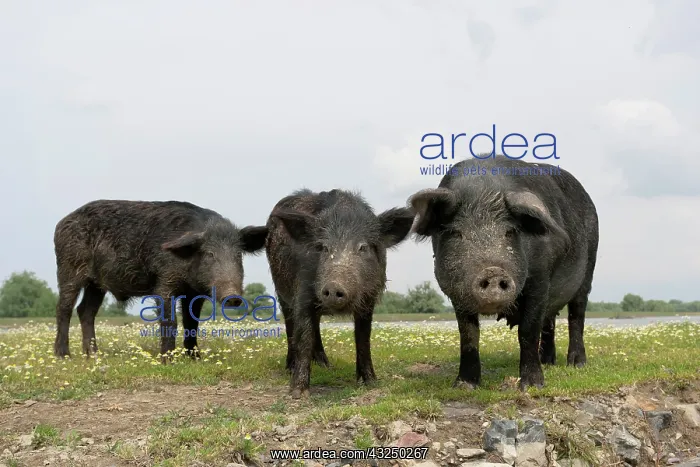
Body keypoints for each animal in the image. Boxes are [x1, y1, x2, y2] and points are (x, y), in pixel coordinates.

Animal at [53, 200, 268, 360]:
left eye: (238, 255)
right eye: (209, 254)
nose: (233, 297)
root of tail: (60, 223)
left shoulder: (194, 292)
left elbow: (192, 322)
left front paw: (195, 358)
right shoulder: (164, 281)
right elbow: (170, 320)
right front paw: (168, 360)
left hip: (96, 284)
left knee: (85, 311)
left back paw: (94, 355)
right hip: (69, 267)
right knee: (64, 308)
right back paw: (64, 355)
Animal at [265, 189, 416, 398]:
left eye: (362, 247)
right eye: (323, 247)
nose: (334, 286)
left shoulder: (368, 301)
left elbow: (363, 338)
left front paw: (371, 383)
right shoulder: (303, 292)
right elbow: (304, 337)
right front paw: (298, 393)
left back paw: (326, 366)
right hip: (281, 292)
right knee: (290, 325)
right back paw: (291, 367)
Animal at [408, 155, 599, 391]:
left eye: (510, 232)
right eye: (456, 233)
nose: (492, 271)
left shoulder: (539, 280)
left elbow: (528, 330)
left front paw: (532, 386)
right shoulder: (456, 293)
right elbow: (468, 335)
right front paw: (464, 385)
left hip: (588, 270)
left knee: (576, 316)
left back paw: (577, 364)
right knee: (550, 321)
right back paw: (548, 363)